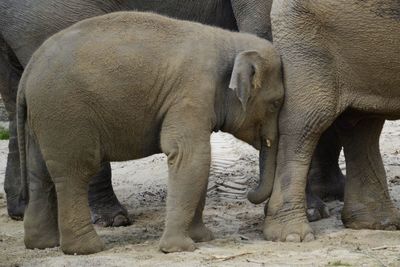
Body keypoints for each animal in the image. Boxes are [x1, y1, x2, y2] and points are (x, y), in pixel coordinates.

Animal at [0, 0, 344, 225]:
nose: (249, 193)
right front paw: (315, 212)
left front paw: (331, 195)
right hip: (49, 18)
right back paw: (111, 218)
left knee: (17, 97)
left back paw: (23, 209)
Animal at [17, 12, 282, 255]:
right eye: (276, 104)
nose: (249, 194)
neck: (229, 40)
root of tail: (28, 71)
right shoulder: (191, 92)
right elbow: (190, 156)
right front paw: (178, 248)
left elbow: (199, 162)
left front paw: (202, 238)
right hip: (65, 115)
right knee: (75, 173)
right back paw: (87, 249)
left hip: (41, 120)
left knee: (39, 174)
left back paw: (43, 244)